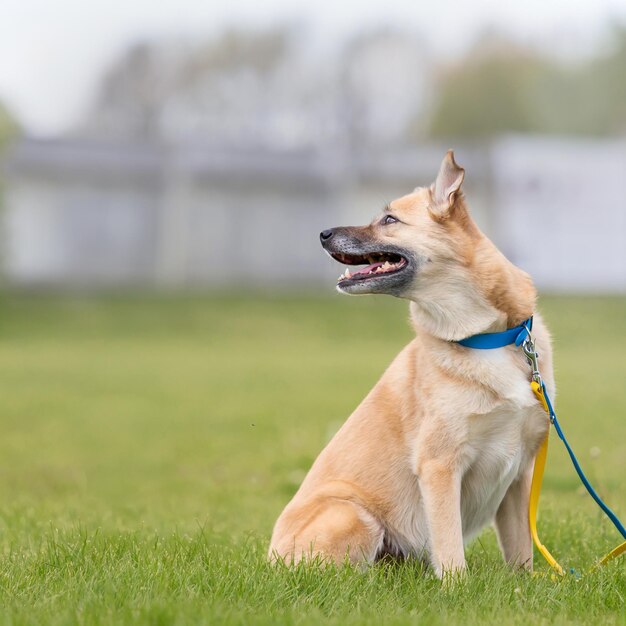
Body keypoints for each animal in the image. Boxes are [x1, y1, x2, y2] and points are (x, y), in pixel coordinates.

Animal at [268, 150, 552, 576]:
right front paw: (456, 586)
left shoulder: (519, 472)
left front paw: (524, 583)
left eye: (389, 219)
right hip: (356, 516)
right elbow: (450, 550)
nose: (322, 233)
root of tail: (270, 558)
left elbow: (522, 552)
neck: (485, 338)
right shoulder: (440, 465)